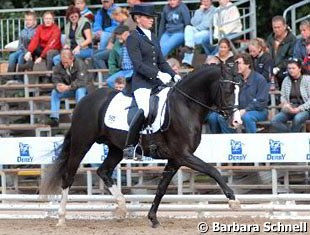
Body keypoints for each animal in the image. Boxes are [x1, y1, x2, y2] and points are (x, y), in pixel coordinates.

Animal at [40, 64, 242, 228]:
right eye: (228, 90)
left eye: (239, 89)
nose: (236, 121)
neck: (185, 105)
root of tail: (84, 101)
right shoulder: (184, 155)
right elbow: (213, 170)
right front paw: (234, 201)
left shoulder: (175, 159)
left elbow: (161, 188)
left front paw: (153, 218)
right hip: (82, 143)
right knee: (68, 176)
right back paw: (61, 218)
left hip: (116, 149)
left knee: (103, 171)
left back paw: (122, 207)